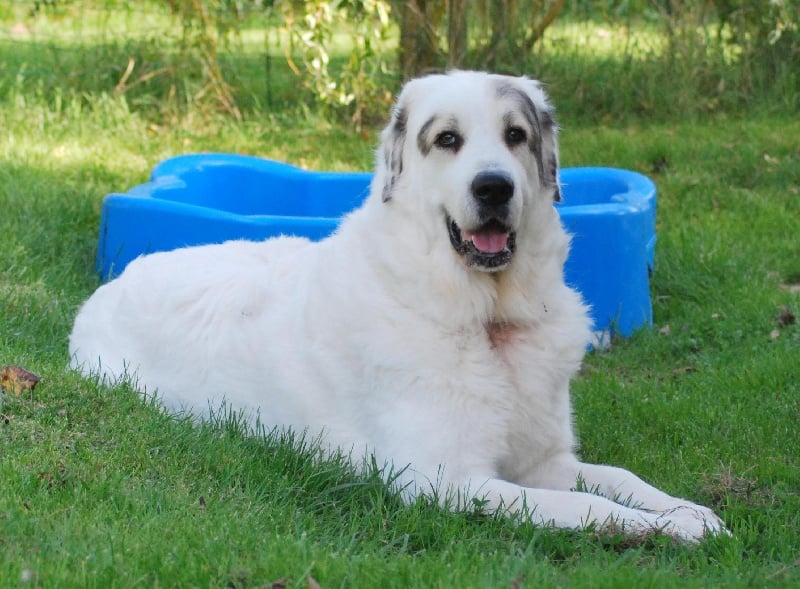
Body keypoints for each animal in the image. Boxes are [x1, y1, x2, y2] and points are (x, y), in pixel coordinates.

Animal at [72, 70, 728, 544]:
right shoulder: (451, 483)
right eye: (448, 140)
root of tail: (113, 284)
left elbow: (618, 479)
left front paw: (688, 510)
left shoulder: (545, 458)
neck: (486, 320)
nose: (494, 187)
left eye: (515, 136)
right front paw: (669, 529)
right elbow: (586, 507)